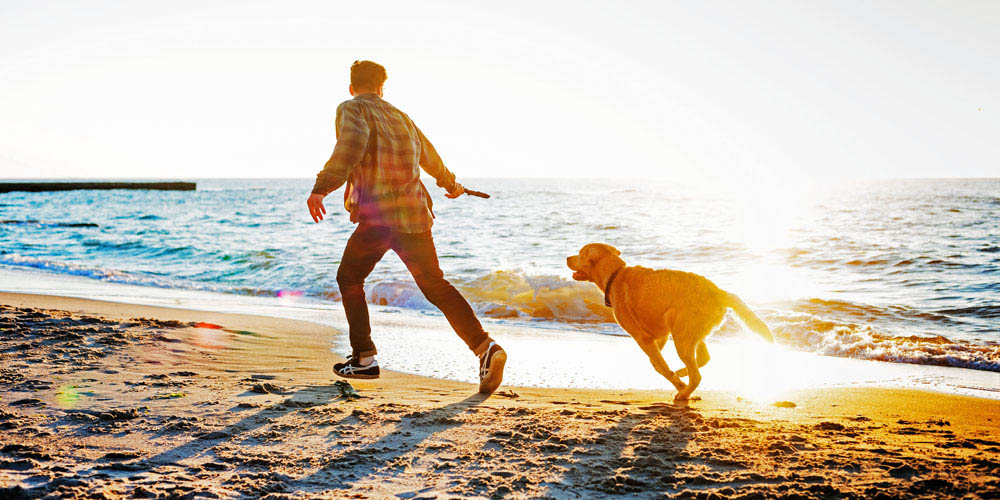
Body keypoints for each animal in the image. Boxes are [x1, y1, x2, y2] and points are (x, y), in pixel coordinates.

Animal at [572, 243, 772, 402]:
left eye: (579, 254)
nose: (567, 257)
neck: (615, 275)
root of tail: (720, 292)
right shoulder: (659, 335)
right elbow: (657, 363)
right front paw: (677, 378)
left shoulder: (642, 337)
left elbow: (660, 365)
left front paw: (678, 383)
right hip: (691, 332)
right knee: (703, 359)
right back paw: (684, 374)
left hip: (682, 336)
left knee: (697, 375)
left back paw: (684, 392)